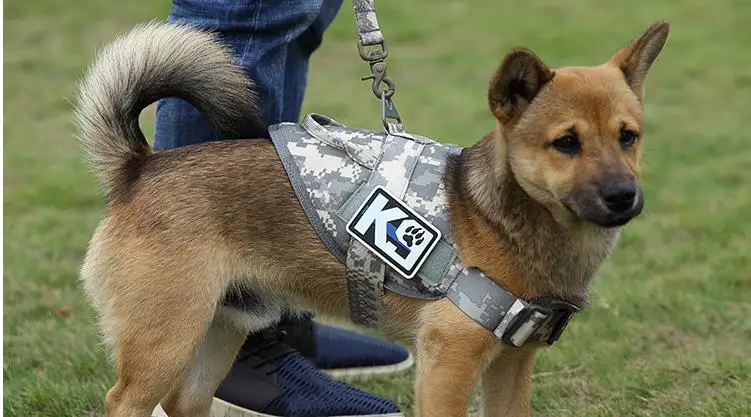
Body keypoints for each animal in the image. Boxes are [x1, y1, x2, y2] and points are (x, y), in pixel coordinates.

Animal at [76, 20, 672, 416]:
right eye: (566, 143)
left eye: (629, 136)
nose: (623, 196)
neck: (498, 217)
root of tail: (139, 167)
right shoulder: (449, 363)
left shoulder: (511, 364)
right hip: (165, 342)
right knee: (124, 402)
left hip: (221, 330)